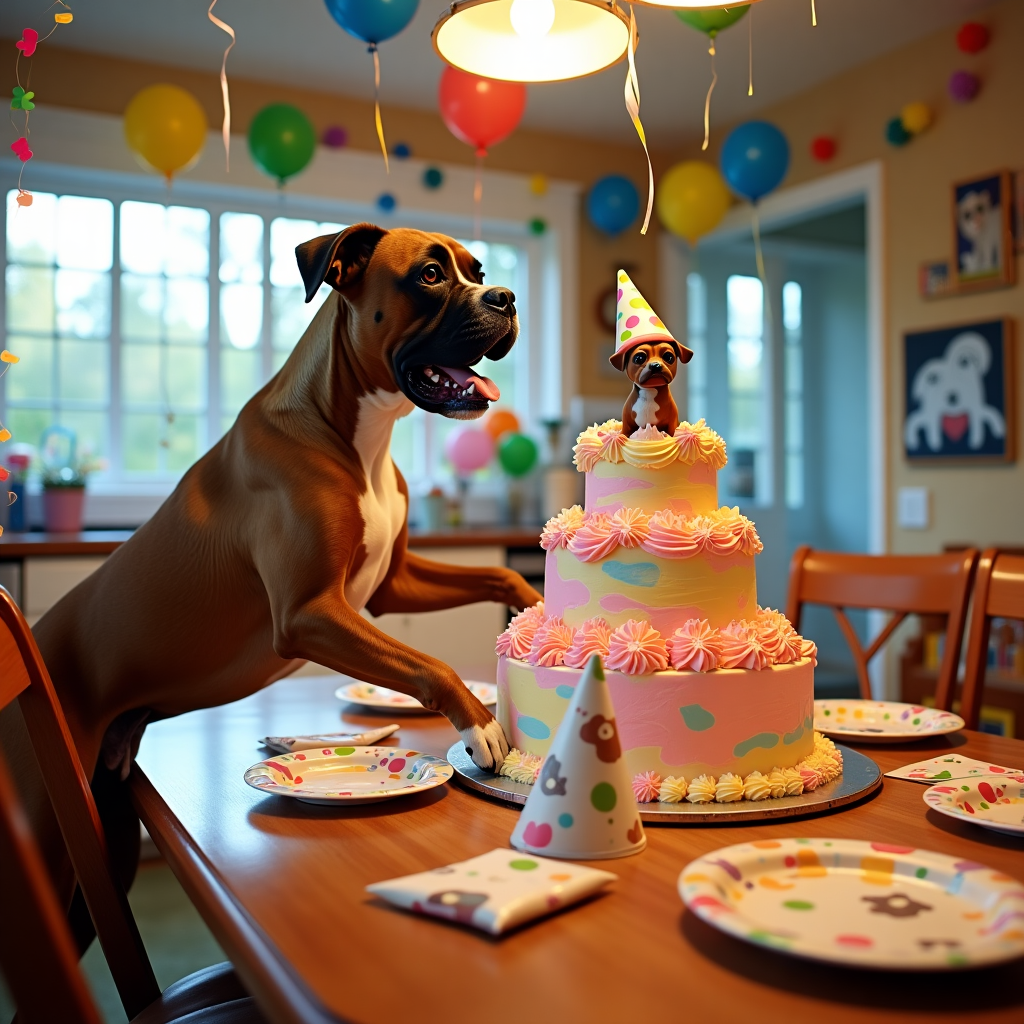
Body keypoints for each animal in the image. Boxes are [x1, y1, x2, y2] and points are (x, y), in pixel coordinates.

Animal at [2, 226, 544, 929]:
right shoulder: (311, 612)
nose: (504, 296)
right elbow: (430, 664)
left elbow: (499, 579)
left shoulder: (390, 586)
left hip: (104, 836)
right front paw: (480, 724)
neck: (354, 429)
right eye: (429, 275)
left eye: (477, 271)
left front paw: (538, 605)